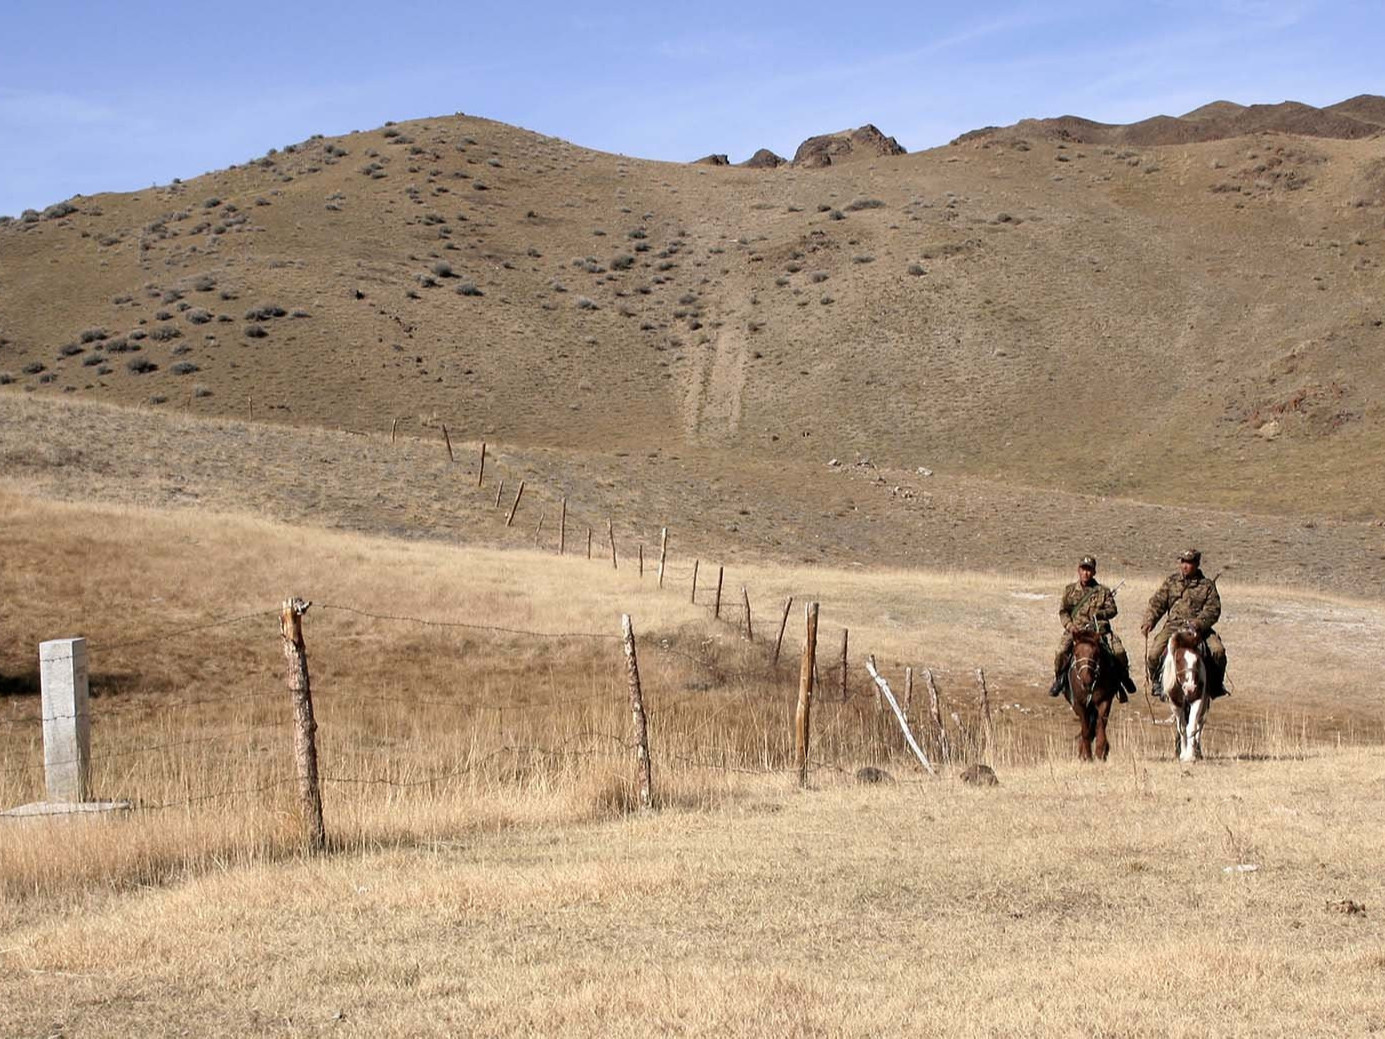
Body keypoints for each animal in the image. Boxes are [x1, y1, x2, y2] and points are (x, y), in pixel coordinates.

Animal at [1063, 631, 1119, 759]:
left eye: (1095, 654)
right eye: (1076, 654)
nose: (1086, 681)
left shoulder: (1104, 701)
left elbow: (1100, 725)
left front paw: (1101, 751)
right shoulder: (1079, 704)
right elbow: (1085, 729)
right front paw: (1087, 756)